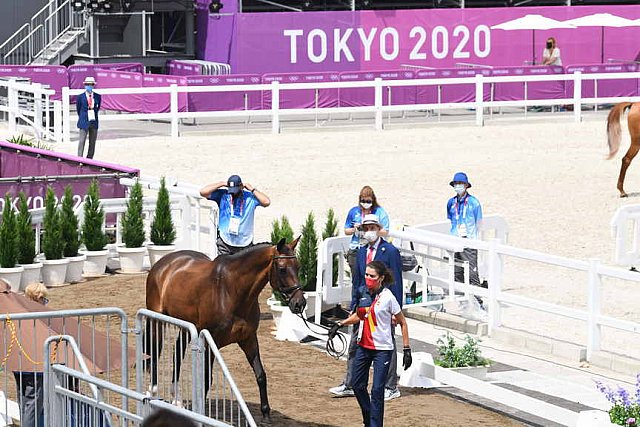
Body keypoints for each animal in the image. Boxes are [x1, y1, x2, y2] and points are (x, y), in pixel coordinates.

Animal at [145, 239, 304, 422]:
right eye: (282, 269)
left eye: (298, 266)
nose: (300, 303)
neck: (231, 290)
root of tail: (164, 263)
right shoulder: (211, 341)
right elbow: (207, 379)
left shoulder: (249, 339)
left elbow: (260, 375)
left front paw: (265, 414)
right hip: (157, 321)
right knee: (154, 352)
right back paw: (152, 391)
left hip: (186, 326)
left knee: (177, 354)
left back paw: (176, 400)